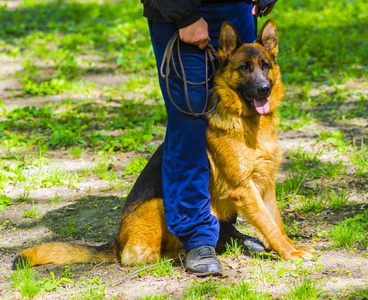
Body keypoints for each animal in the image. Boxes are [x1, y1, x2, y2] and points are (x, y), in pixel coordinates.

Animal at [13, 20, 314, 270]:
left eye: (265, 66)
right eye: (244, 68)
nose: (264, 89)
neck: (247, 122)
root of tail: (116, 241)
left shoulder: (265, 184)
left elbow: (276, 222)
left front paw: (287, 247)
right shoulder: (244, 189)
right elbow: (269, 225)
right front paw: (290, 253)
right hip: (161, 205)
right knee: (137, 256)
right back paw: (187, 254)